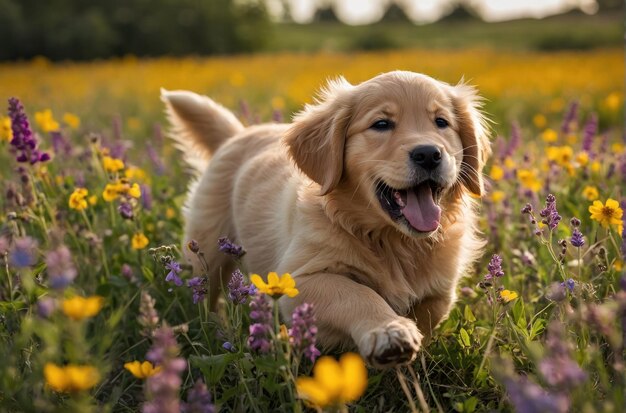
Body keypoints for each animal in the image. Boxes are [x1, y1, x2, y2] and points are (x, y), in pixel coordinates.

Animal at [161, 71, 488, 366]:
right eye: (381, 124)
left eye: (441, 122)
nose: (429, 154)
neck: (392, 240)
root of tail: (237, 135)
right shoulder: (298, 280)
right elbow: (358, 294)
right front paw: (388, 330)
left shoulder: (440, 289)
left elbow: (426, 315)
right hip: (207, 250)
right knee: (206, 296)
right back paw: (218, 331)